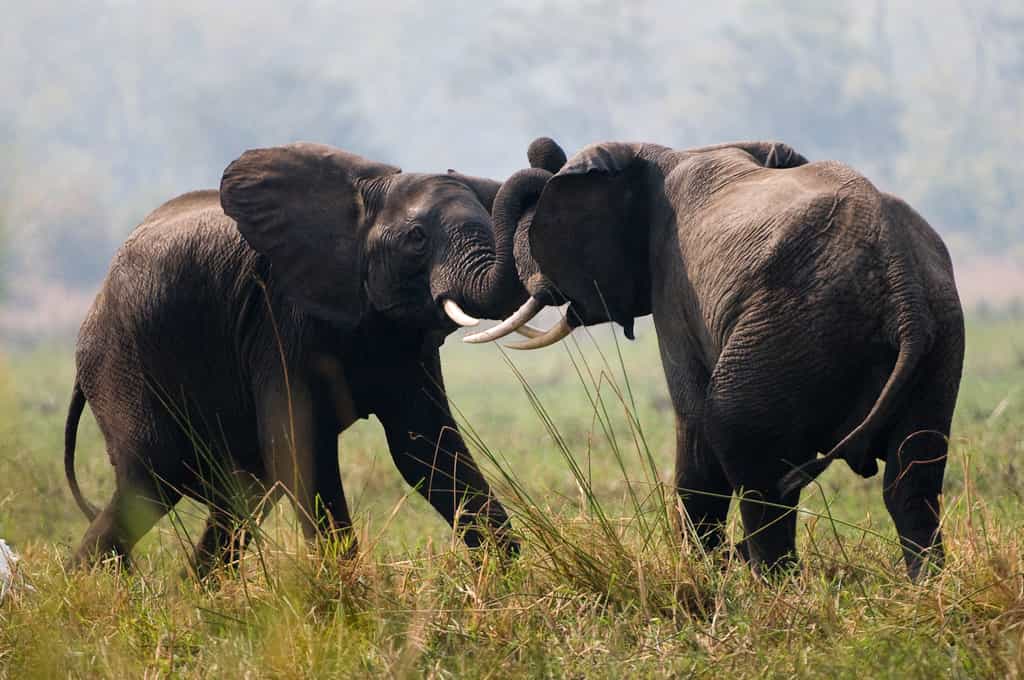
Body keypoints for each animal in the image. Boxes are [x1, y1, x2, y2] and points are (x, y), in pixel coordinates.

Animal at [64, 142, 562, 575]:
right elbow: (300, 449)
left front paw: (506, 583)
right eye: (417, 238)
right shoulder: (281, 317)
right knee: (150, 480)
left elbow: (428, 450)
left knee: (242, 495)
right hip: (121, 362)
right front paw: (353, 600)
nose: (542, 153)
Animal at [470, 137, 965, 579]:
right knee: (910, 482)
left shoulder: (673, 285)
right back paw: (924, 587)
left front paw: (703, 570)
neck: (653, 154)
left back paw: (771, 586)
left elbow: (693, 424)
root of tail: (902, 282)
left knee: (750, 457)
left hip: (790, 329)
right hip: (939, 345)